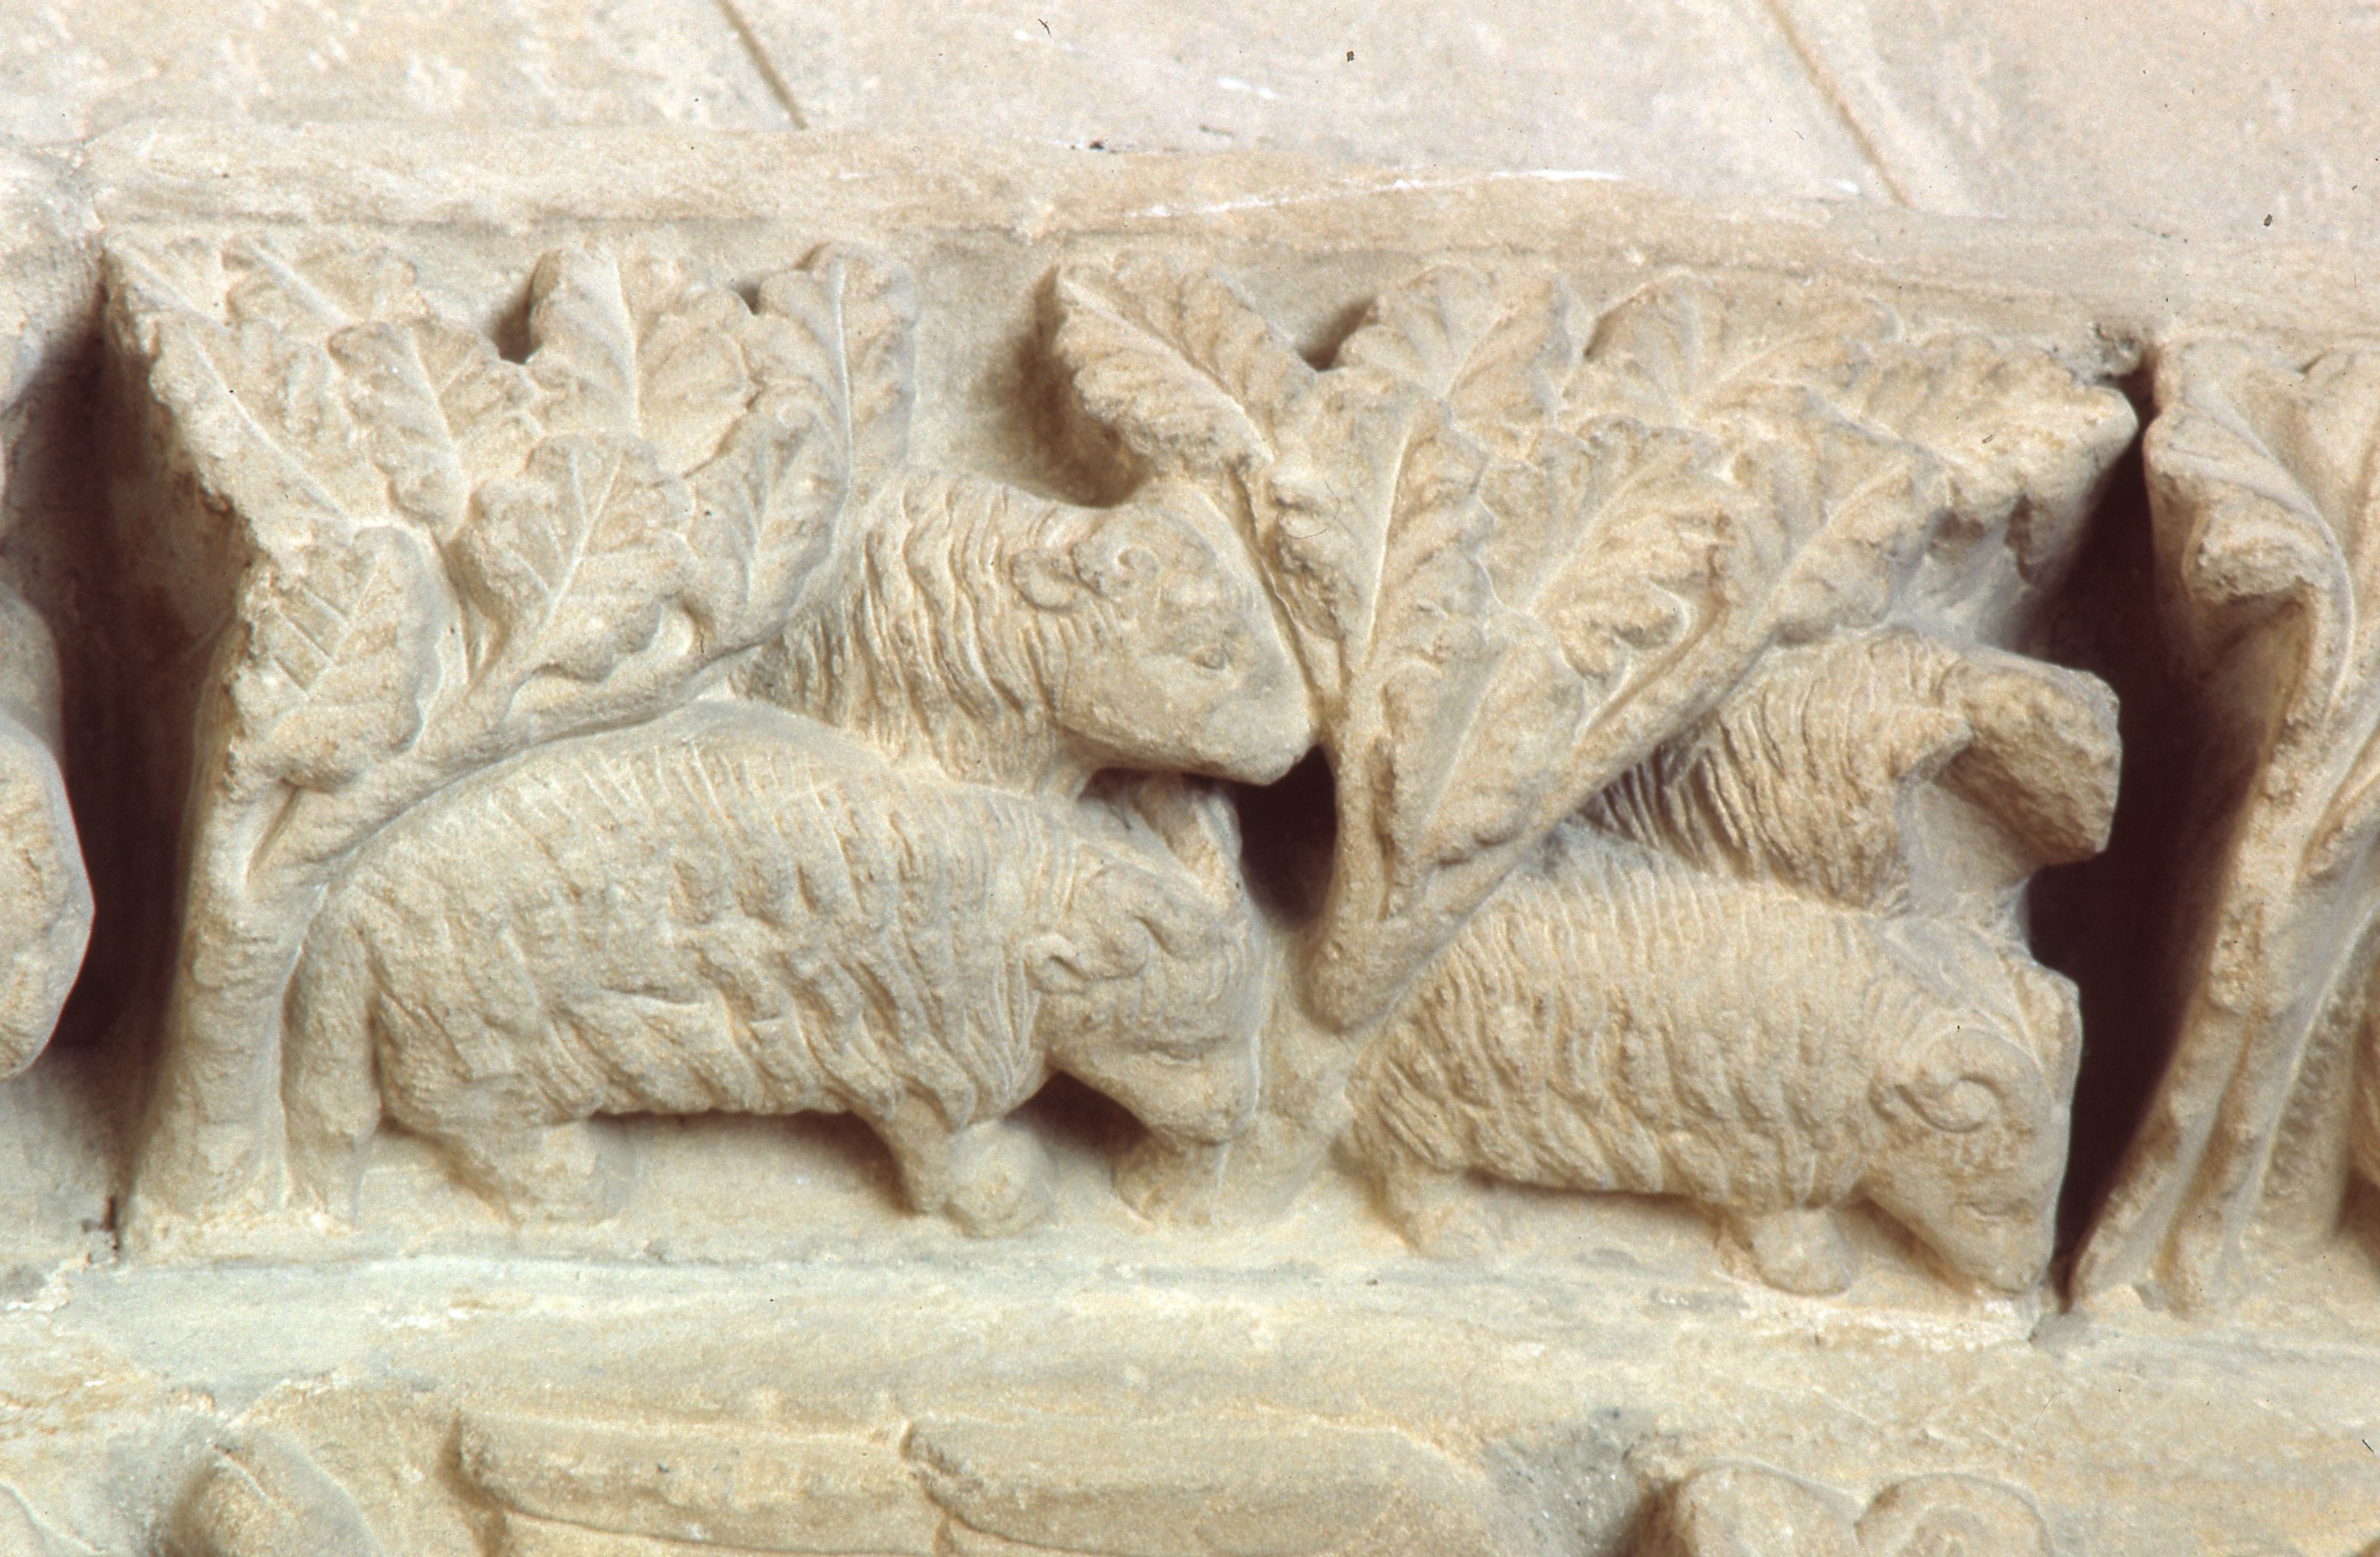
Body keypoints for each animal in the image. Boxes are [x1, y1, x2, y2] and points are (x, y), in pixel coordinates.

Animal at [280, 702, 1269, 1234]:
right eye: (1179, 1049)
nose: (1233, 1122)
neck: (1014, 920)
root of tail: (351, 910)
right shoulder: (920, 1057)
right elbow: (939, 1147)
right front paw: (992, 1196)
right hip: (481, 1038)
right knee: (470, 1119)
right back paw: (565, 1176)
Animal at [1346, 824, 2075, 1294]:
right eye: (1991, 1210)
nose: (2024, 1281)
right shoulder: (1770, 1148)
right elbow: (1778, 1223)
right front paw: (1814, 1271)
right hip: (1436, 1078)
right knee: (1406, 1156)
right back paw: (1458, 1227)